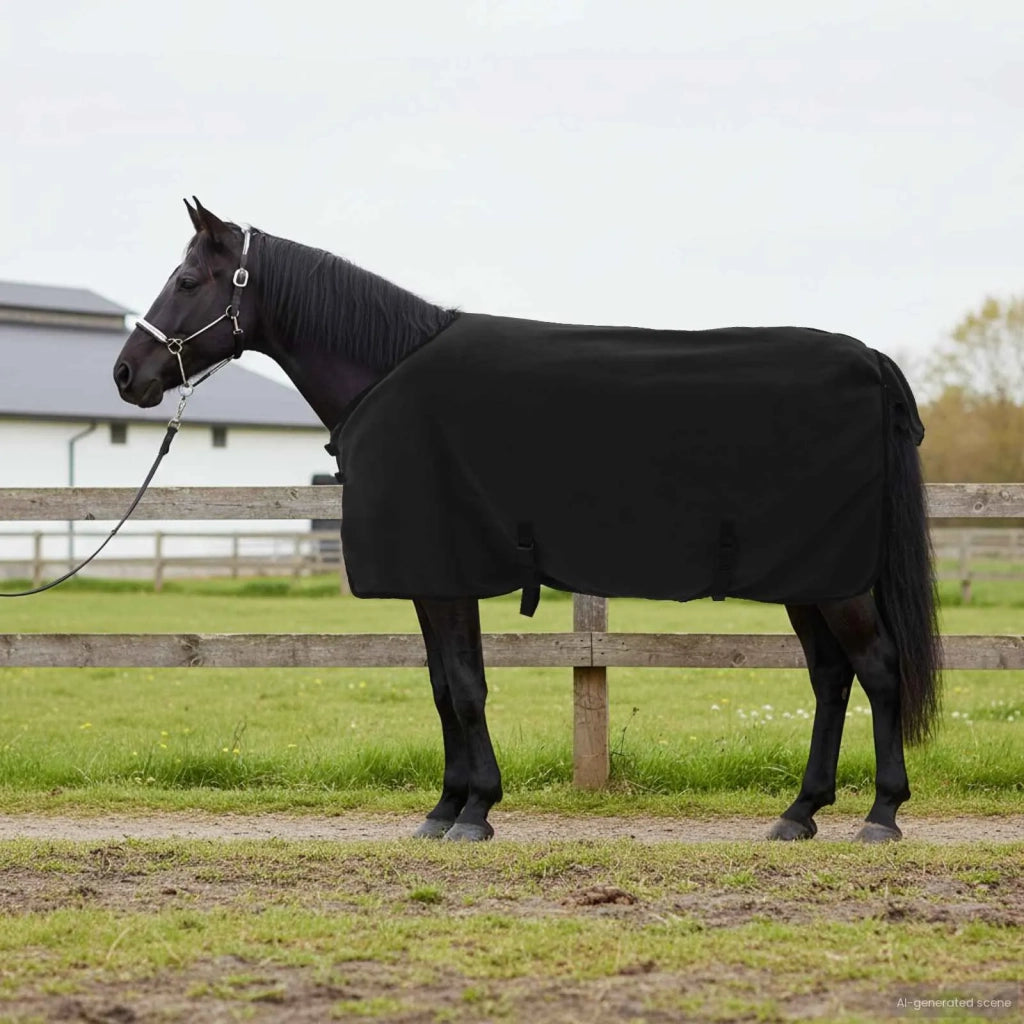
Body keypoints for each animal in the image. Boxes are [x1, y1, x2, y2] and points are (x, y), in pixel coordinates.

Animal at [113, 198, 941, 843]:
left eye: (186, 280)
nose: (126, 374)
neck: (388, 372)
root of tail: (869, 359)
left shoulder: (446, 576)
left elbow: (465, 687)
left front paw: (475, 811)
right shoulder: (433, 580)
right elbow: (445, 686)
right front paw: (446, 807)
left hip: (837, 583)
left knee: (878, 668)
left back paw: (881, 814)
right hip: (809, 576)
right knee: (831, 676)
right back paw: (800, 813)